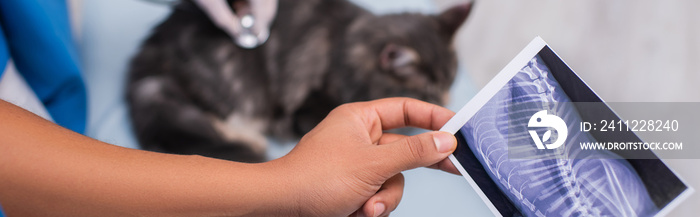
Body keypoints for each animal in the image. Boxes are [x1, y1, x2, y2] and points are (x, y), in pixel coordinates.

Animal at [129, 0, 474, 163]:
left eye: (450, 81)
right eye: (428, 91)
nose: (446, 101)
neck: (349, 43)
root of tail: (152, 49)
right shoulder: (310, 109)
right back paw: (249, 140)